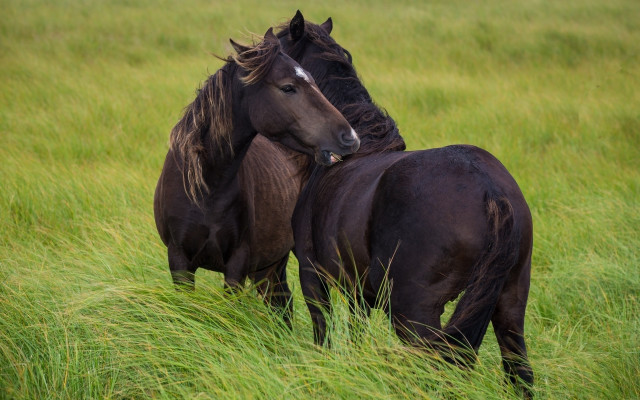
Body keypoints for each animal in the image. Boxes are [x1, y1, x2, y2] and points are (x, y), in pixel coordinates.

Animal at [277, 11, 534, 397]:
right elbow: (356, 333)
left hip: (415, 313)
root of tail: (491, 190)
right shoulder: (359, 290)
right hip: (510, 304)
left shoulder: (312, 274)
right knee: (520, 373)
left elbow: (323, 335)